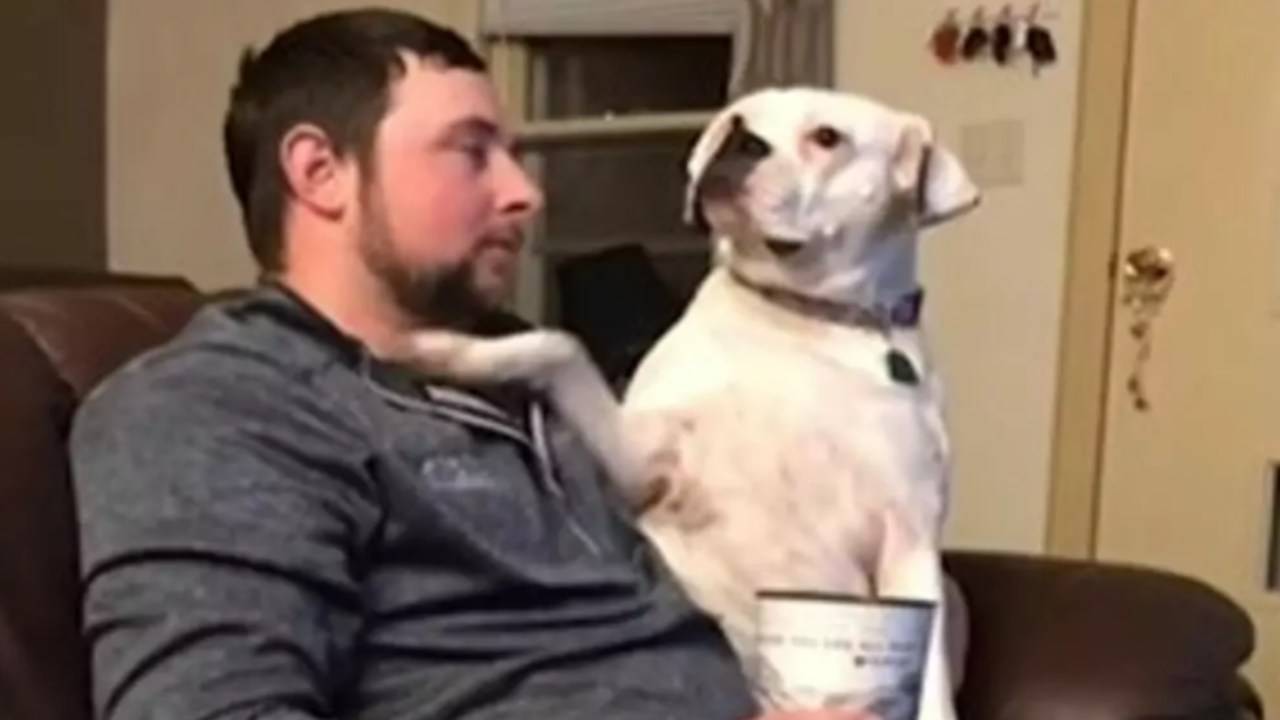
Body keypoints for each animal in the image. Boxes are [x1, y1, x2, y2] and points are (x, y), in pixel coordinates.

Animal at [396, 87, 979, 720]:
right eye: (738, 120)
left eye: (828, 137)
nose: (741, 141)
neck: (800, 318)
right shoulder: (642, 461)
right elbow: (562, 345)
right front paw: (445, 350)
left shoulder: (910, 542)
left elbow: (931, 692)